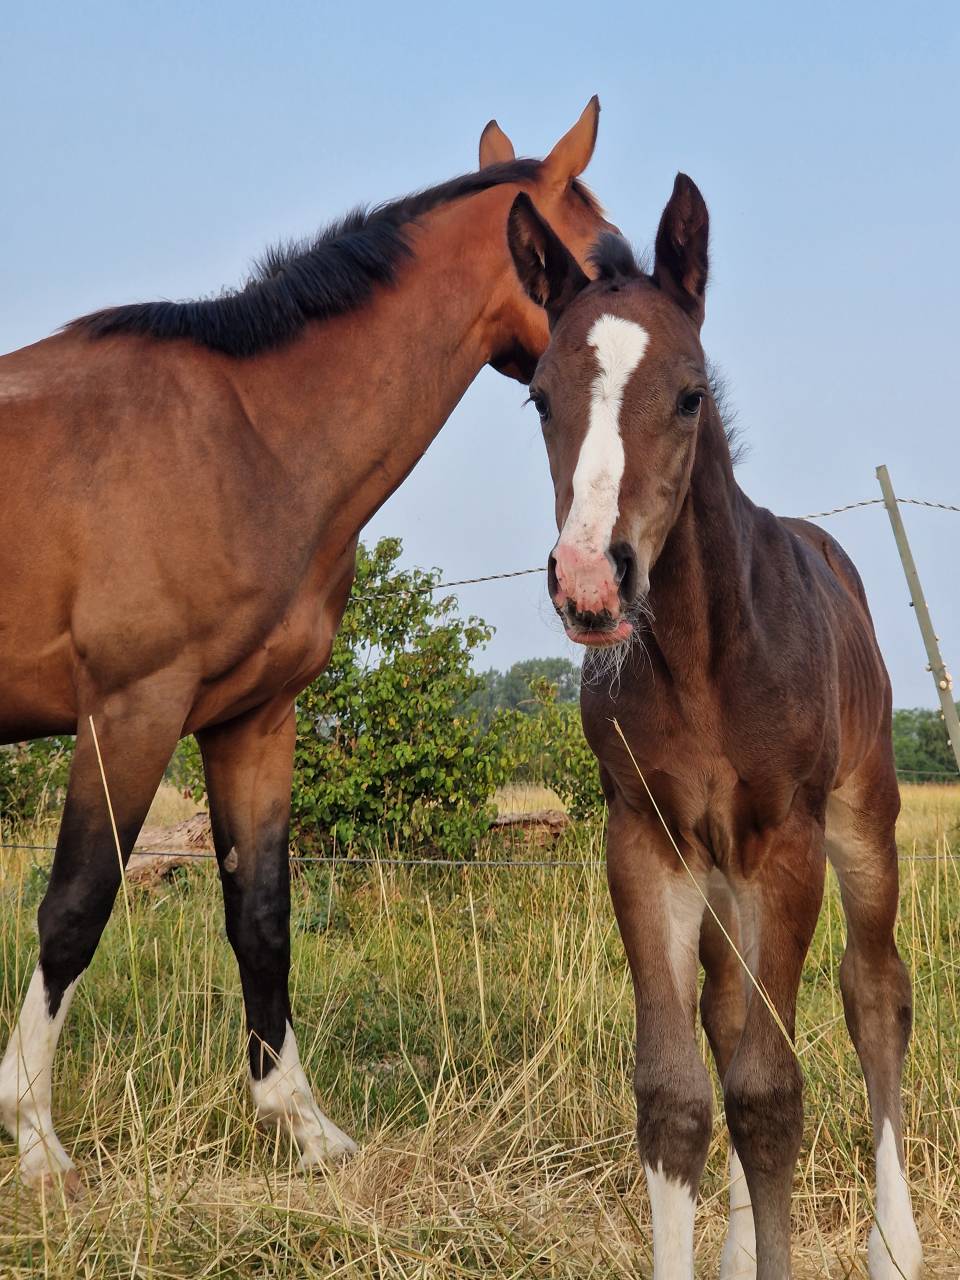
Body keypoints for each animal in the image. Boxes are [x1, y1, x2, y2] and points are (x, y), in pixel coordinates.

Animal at [0, 99, 615, 1195]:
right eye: (609, 256)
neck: (247, 439)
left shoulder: (252, 719)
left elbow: (263, 918)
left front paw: (303, 1125)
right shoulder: (130, 707)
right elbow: (75, 905)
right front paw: (35, 1135)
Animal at [505, 180, 923, 1279]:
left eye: (690, 393)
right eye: (540, 398)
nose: (592, 581)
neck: (703, 658)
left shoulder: (785, 845)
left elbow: (770, 1093)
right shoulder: (647, 841)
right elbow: (679, 1091)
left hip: (861, 824)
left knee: (876, 995)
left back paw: (894, 1243)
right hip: (722, 873)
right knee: (730, 1011)